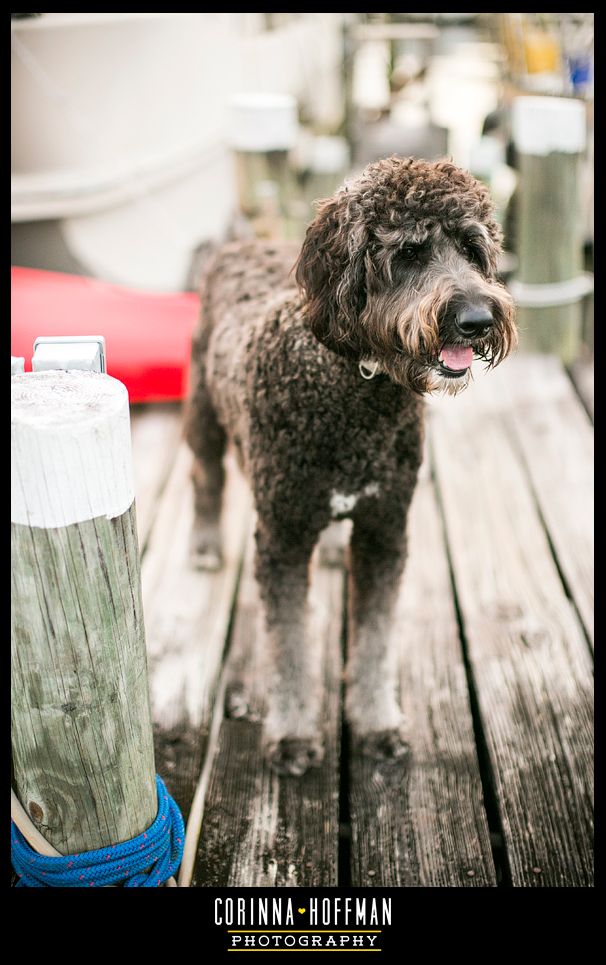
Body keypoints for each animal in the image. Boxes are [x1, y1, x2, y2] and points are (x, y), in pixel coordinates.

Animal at [184, 156, 516, 776]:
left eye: (471, 248)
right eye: (408, 253)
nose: (478, 319)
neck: (356, 391)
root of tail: (241, 244)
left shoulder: (385, 529)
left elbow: (375, 641)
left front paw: (377, 723)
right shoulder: (283, 539)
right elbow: (290, 648)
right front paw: (293, 736)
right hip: (202, 410)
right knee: (206, 476)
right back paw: (204, 541)